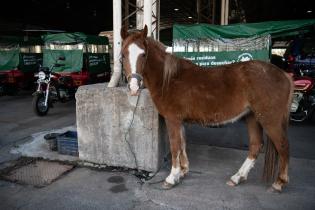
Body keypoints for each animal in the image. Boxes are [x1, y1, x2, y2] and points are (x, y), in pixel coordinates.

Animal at [120, 25, 294, 192]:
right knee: (256, 145)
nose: (133, 88)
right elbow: (182, 144)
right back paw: (237, 177)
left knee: (283, 146)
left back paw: (279, 182)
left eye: (143, 54)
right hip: (252, 117)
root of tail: (284, 75)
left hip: (269, 119)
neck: (169, 78)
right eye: (122, 55)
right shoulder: (179, 121)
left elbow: (175, 146)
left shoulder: (173, 119)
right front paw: (182, 172)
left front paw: (171, 178)